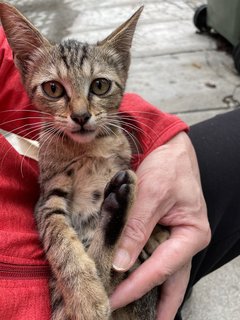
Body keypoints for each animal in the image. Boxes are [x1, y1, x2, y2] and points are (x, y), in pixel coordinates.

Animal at [0, 3, 169, 320]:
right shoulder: (48, 199)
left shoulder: (120, 162)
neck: (89, 148)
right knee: (100, 277)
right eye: (53, 89)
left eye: (100, 85)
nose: (80, 116)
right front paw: (86, 296)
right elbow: (63, 244)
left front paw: (158, 233)